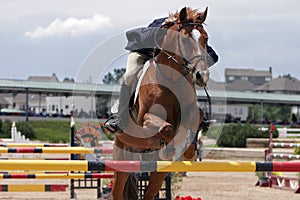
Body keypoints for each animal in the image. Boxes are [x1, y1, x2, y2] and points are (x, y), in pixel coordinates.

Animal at [112, 7, 209, 199]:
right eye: (185, 41)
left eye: (206, 39)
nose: (202, 76)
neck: (171, 79)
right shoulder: (144, 118)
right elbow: (166, 128)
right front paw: (169, 147)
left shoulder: (189, 109)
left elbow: (197, 115)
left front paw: (189, 150)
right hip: (123, 158)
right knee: (117, 192)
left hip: (157, 173)